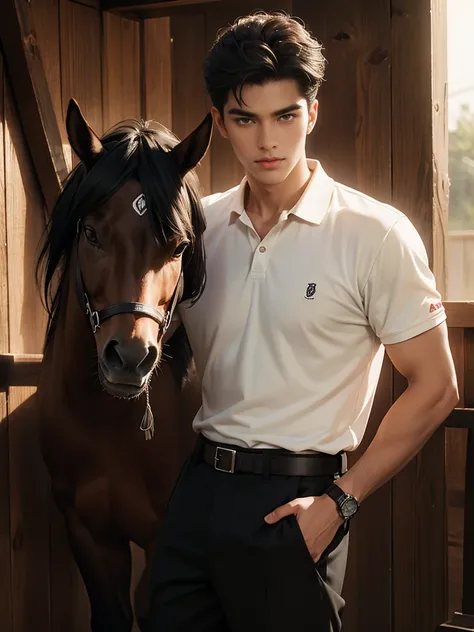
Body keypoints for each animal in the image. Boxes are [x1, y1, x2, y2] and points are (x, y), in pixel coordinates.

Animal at [33, 99, 211, 632]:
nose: (130, 358)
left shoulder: (162, 538)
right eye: (91, 232)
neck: (109, 424)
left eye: (179, 246)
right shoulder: (89, 533)